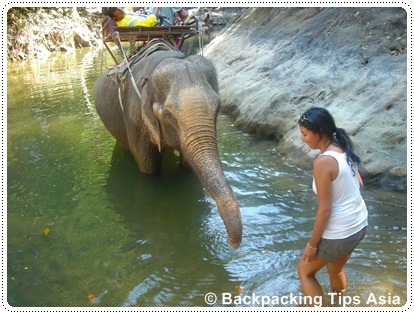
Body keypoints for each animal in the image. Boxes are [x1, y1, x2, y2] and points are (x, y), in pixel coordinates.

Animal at [94, 50, 243, 249]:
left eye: (218, 107)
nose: (231, 243)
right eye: (168, 115)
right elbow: (149, 166)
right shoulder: (134, 119)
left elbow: (187, 165)